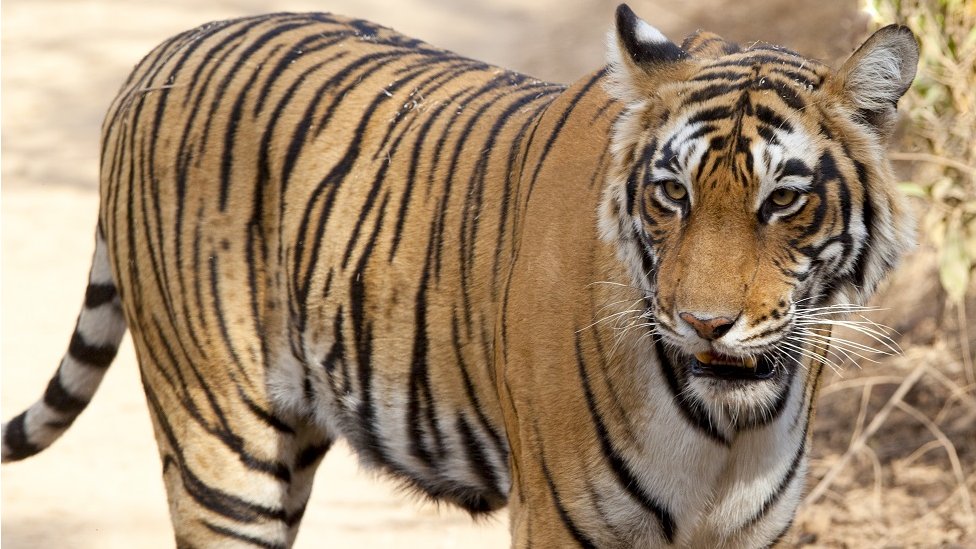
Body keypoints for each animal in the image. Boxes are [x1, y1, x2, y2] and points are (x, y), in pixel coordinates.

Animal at [1, 3, 916, 544]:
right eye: (672, 194)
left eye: (782, 201)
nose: (705, 324)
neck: (731, 428)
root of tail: (161, 50)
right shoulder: (565, 520)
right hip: (221, 445)